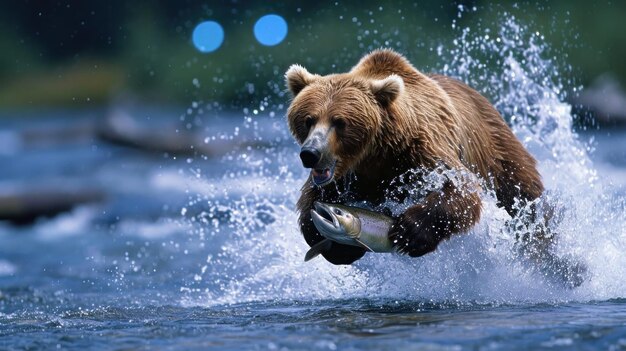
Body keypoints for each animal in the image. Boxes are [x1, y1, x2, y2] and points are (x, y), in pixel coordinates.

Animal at [284, 48, 540, 264]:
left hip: (496, 149)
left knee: (525, 198)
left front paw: (411, 230)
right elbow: (310, 202)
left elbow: (460, 189)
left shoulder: (422, 151)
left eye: (339, 122)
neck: (374, 155)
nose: (310, 154)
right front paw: (338, 245)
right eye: (308, 119)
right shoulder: (345, 177)